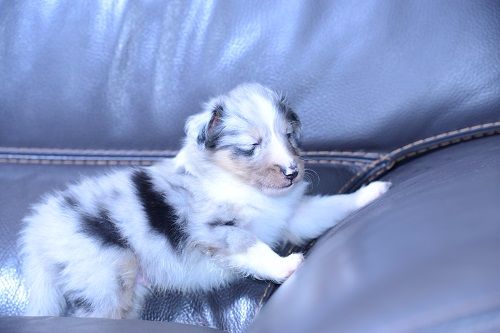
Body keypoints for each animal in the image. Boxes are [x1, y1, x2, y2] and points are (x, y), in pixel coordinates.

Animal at [20, 82, 390, 316]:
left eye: (289, 136)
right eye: (251, 145)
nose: (292, 172)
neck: (242, 185)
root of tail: (39, 229)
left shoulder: (291, 217)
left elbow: (328, 207)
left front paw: (371, 192)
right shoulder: (212, 228)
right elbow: (250, 245)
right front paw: (285, 266)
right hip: (104, 279)